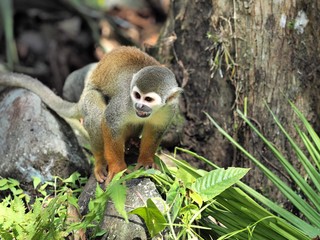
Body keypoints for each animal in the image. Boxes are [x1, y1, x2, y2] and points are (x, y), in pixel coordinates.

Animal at [0, 46, 182, 183]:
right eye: (137, 95)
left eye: (148, 99)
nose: (139, 105)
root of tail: (80, 98)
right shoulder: (125, 101)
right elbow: (109, 121)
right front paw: (117, 168)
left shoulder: (170, 108)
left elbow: (155, 130)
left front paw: (146, 160)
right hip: (89, 97)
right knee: (96, 115)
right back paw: (100, 161)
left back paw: (131, 140)